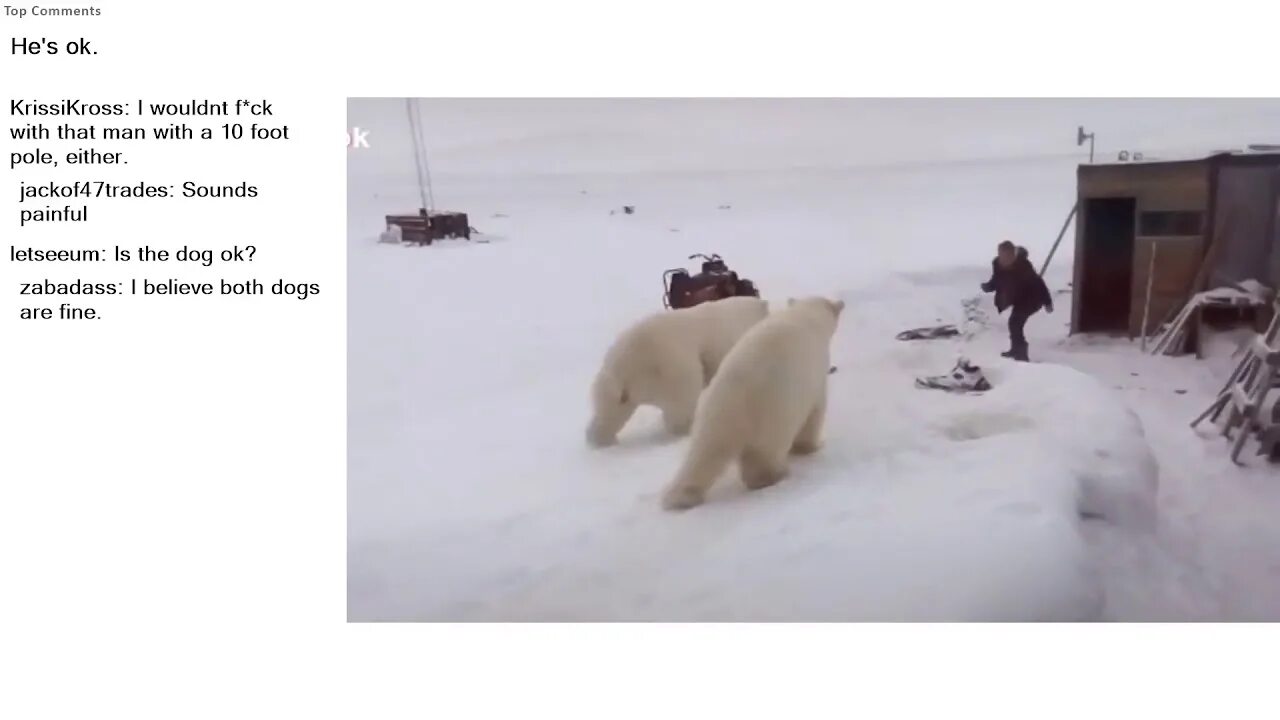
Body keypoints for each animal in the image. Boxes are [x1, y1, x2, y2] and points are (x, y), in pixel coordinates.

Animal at [586, 295, 768, 443]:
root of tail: (625, 364)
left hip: (611, 383)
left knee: (609, 412)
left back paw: (598, 438)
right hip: (672, 370)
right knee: (681, 406)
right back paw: (686, 430)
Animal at [660, 294, 849, 507]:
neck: (805, 315)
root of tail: (730, 401)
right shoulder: (813, 375)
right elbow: (814, 414)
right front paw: (814, 446)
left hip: (707, 414)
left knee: (702, 451)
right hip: (773, 412)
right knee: (764, 456)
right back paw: (776, 475)